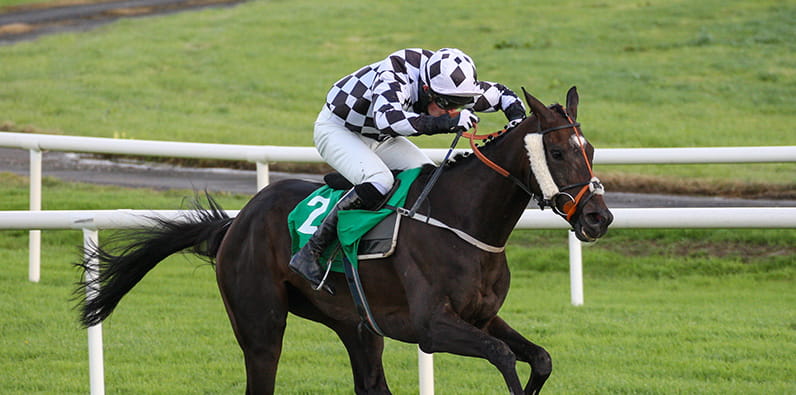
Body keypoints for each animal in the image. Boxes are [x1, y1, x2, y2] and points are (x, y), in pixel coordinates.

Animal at [77, 87, 612, 395]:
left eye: (589, 148)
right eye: (558, 151)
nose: (598, 216)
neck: (462, 221)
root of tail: (236, 222)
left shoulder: (480, 317)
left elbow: (539, 358)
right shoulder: (431, 327)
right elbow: (503, 357)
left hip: (355, 325)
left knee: (370, 382)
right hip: (261, 325)